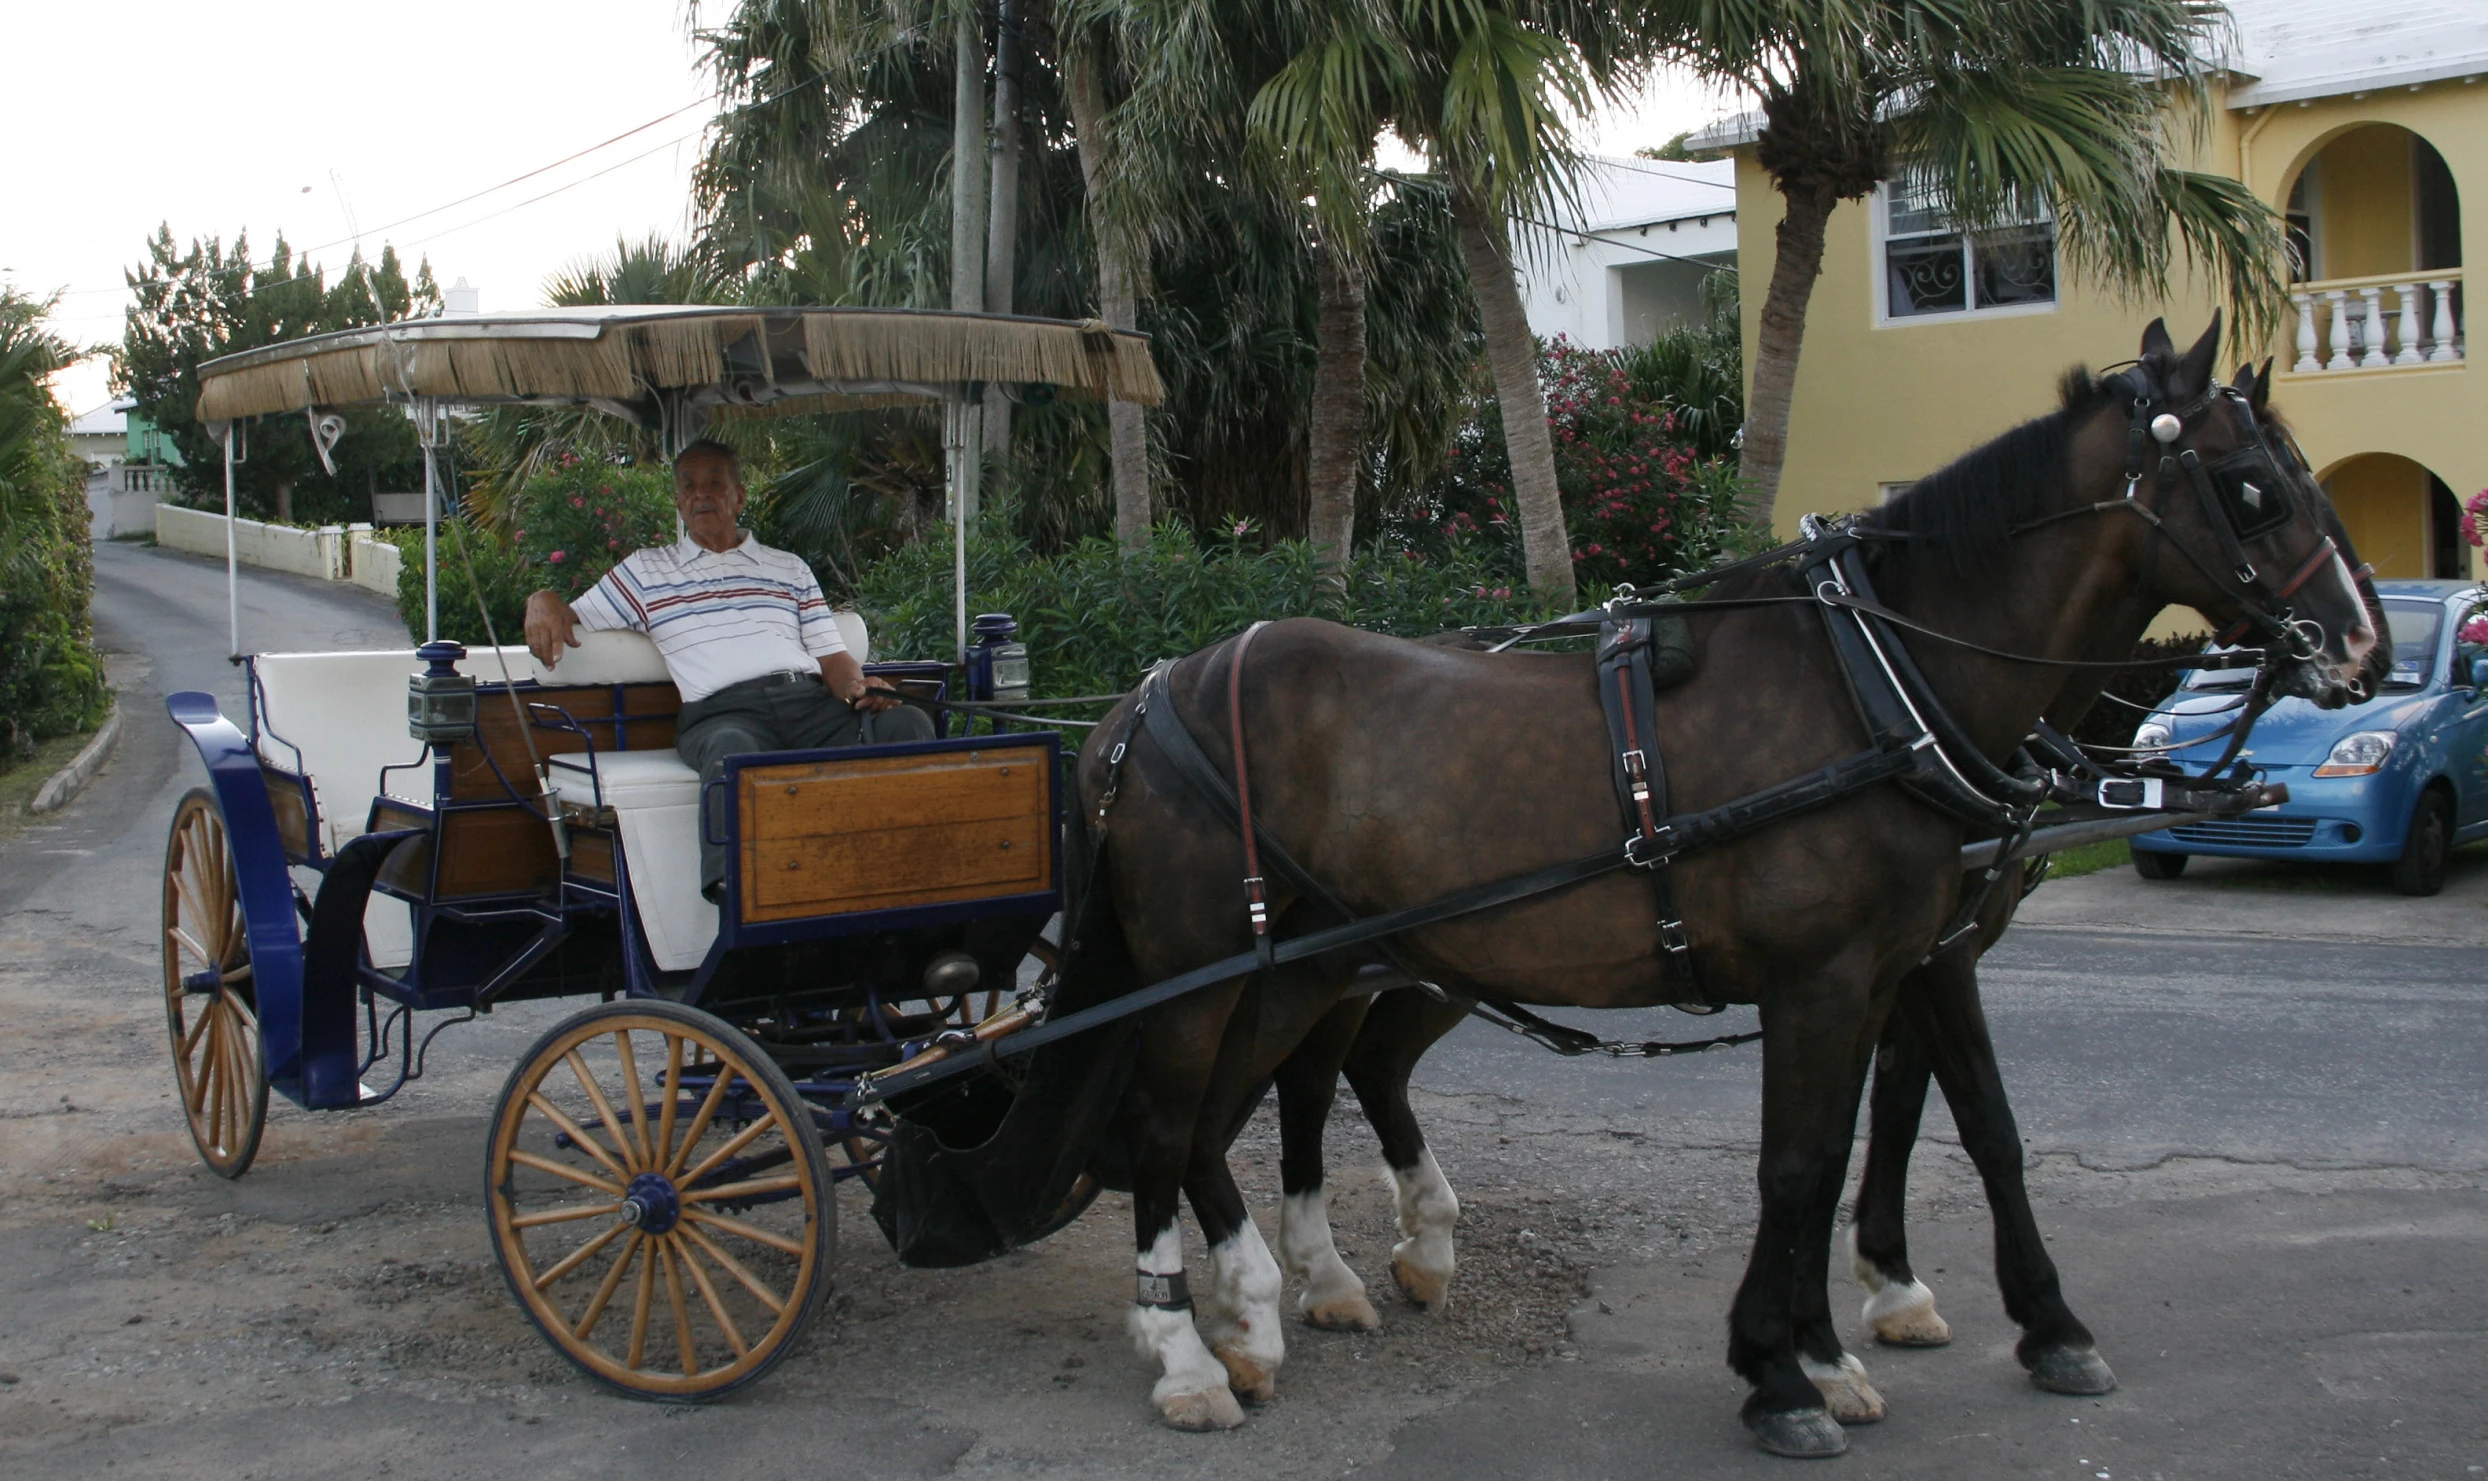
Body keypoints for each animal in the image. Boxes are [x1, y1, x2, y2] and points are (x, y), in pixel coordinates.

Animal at [1064, 318, 2368, 1453]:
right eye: (2252, 484)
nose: (2362, 645)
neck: (1876, 682)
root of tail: (1142, 700)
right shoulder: (1826, 979)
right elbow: (1804, 1164)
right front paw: (1784, 1369)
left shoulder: (1896, 965)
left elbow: (1892, 1140)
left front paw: (1864, 1340)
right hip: (1202, 972)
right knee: (1169, 1121)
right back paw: (1188, 1352)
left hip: (1302, 967)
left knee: (1231, 1112)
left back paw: (1260, 1308)